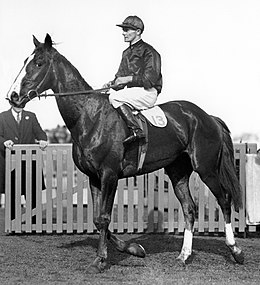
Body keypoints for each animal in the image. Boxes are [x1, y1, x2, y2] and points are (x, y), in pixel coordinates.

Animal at [10, 34, 245, 272]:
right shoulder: (94, 177)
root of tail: (207, 117)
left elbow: (104, 217)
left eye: (39, 63)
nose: (13, 96)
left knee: (225, 200)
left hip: (206, 169)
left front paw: (101, 259)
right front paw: (132, 248)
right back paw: (184, 255)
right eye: (25, 61)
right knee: (189, 209)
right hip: (178, 172)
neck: (89, 116)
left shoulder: (109, 175)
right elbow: (96, 218)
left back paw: (236, 250)